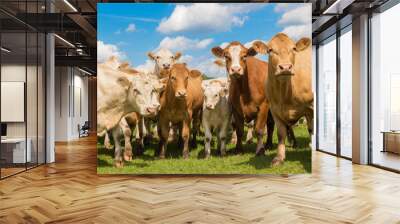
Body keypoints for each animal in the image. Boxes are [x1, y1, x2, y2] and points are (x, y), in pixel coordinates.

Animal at [252, 33, 314, 166]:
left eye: (294, 48)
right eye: (270, 50)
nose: (285, 67)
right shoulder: (275, 110)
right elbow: (281, 134)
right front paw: (279, 158)